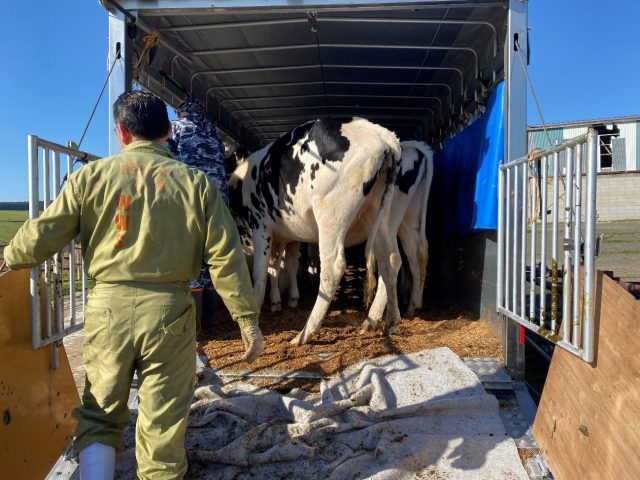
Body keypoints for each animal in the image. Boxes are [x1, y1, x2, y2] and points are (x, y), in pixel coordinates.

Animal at [228, 118, 402, 346]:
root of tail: (382, 135)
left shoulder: (260, 226)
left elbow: (260, 273)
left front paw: (255, 312)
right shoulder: (289, 236)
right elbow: (281, 267)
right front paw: (281, 301)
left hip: (331, 215)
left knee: (333, 268)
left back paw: (305, 333)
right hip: (381, 215)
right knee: (390, 260)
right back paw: (383, 322)